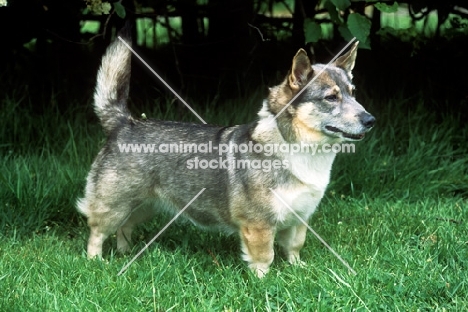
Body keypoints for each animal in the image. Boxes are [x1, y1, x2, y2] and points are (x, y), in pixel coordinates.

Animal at [78, 28, 374, 278]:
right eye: (331, 98)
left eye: (353, 93)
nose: (371, 120)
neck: (302, 151)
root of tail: (124, 122)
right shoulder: (259, 225)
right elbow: (264, 257)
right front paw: (263, 282)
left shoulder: (300, 218)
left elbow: (294, 248)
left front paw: (299, 270)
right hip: (114, 206)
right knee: (98, 232)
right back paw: (96, 263)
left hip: (143, 206)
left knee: (124, 228)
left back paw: (125, 255)